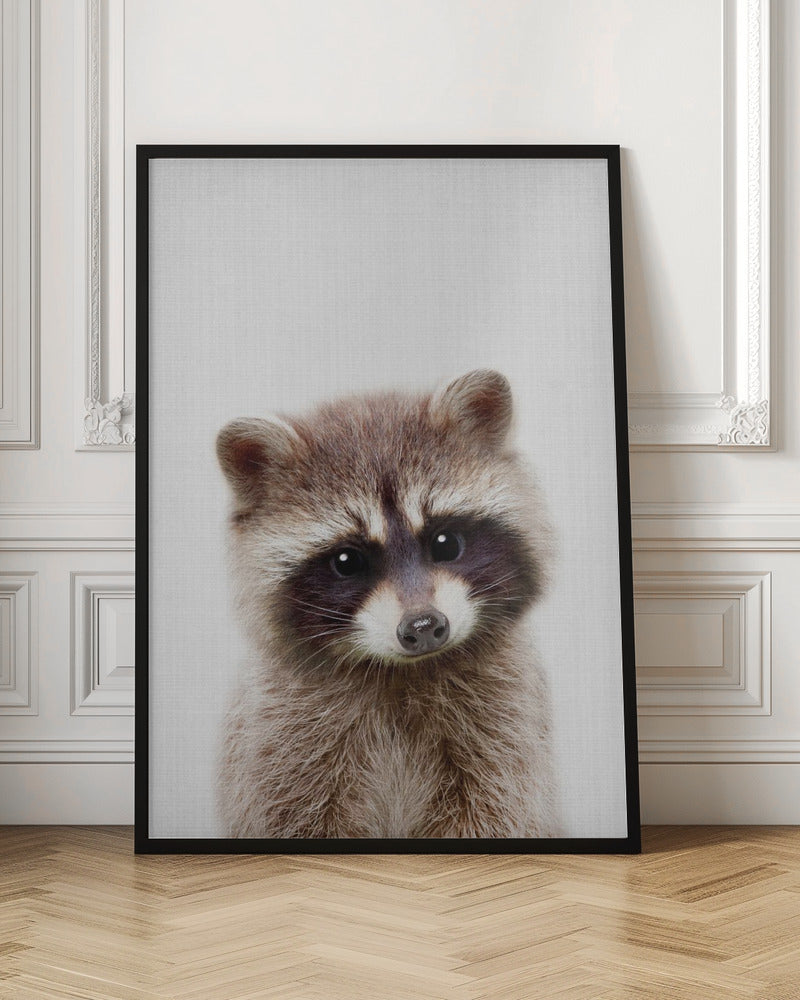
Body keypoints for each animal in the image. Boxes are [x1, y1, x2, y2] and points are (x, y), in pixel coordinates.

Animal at [216, 369, 559, 839]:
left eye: (446, 543)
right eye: (347, 562)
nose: (423, 627)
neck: (401, 673)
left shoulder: (504, 727)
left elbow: (495, 811)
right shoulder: (281, 739)